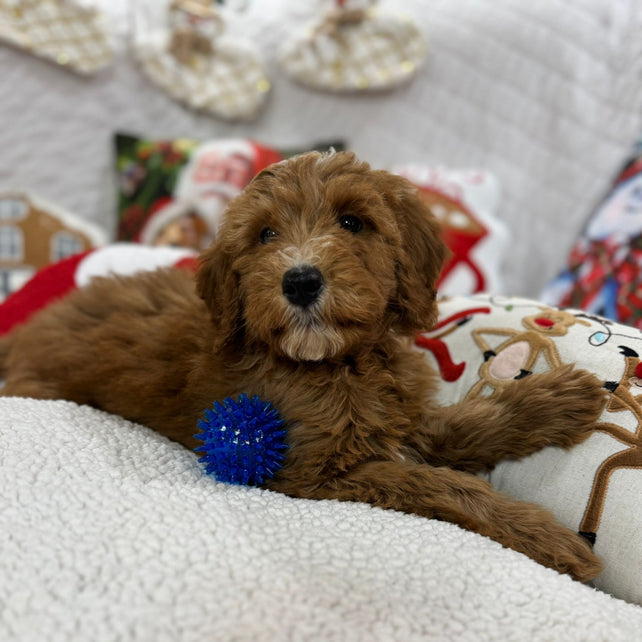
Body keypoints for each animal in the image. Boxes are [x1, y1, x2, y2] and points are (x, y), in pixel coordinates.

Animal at [0, 151, 604, 580]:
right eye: (265, 234)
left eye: (352, 221)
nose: (300, 280)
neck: (340, 363)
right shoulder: (314, 472)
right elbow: (439, 484)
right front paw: (546, 537)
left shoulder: (399, 418)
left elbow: (468, 424)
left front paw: (557, 400)